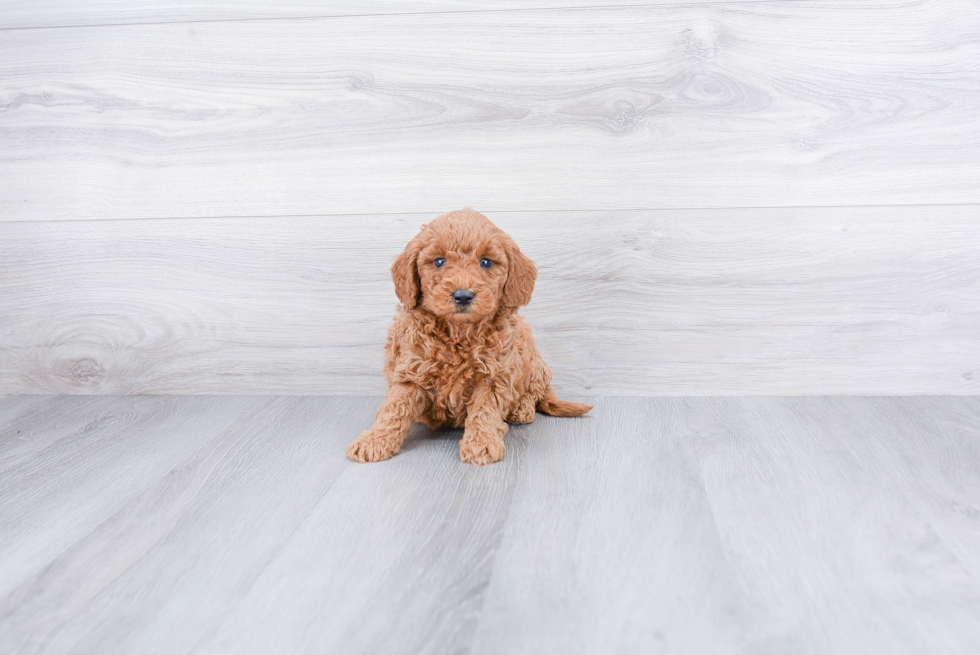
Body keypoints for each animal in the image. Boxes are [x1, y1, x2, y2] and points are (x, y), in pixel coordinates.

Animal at [348, 208, 592, 464]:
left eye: (485, 262)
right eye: (439, 261)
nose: (463, 296)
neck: (459, 332)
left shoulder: (494, 376)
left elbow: (485, 410)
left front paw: (481, 443)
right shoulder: (411, 371)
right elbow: (394, 407)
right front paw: (375, 440)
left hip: (532, 361)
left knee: (534, 393)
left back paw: (521, 408)